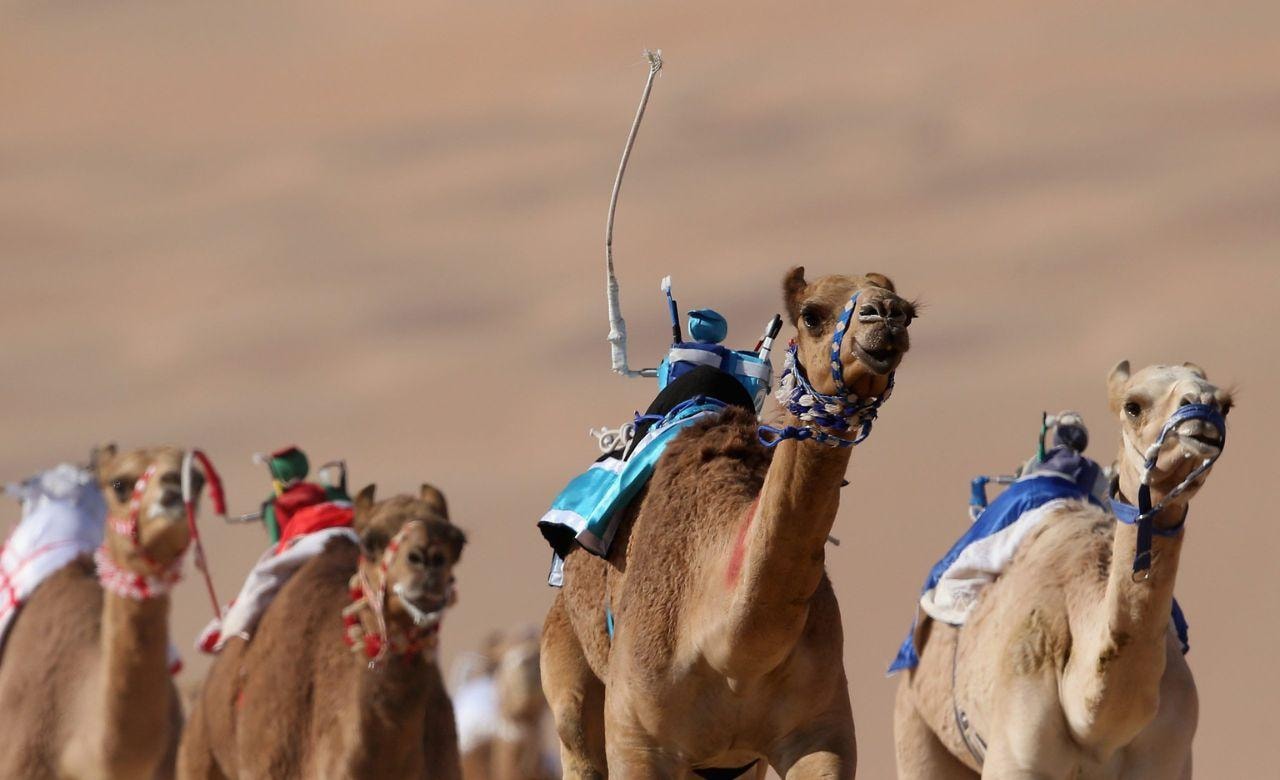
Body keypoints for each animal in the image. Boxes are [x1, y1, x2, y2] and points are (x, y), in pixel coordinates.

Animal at [541, 267, 915, 778]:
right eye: (812, 314)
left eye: (909, 310)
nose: (887, 315)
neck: (733, 650)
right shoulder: (637, 742)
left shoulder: (820, 733)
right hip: (568, 672)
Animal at [893, 361, 1232, 779]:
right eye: (1133, 406)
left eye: (1226, 405)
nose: (1204, 409)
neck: (1098, 731)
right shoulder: (1014, 758)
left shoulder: (1170, 759)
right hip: (915, 723)